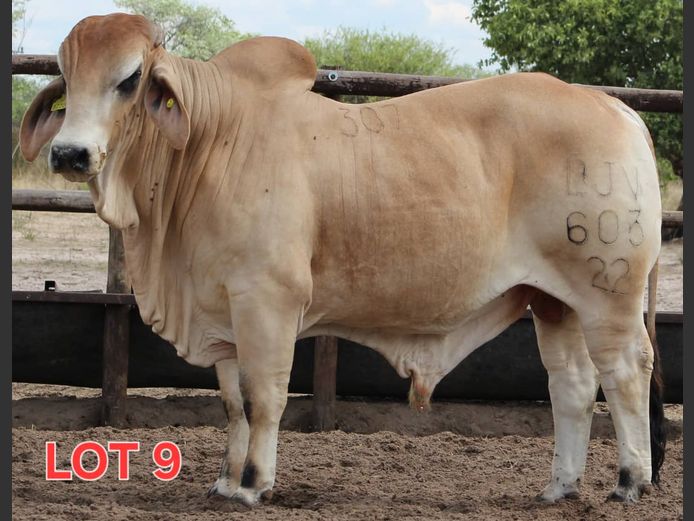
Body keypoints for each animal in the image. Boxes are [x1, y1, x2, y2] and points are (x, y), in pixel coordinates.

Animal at [20, 13, 665, 507]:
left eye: (130, 79)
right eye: (67, 77)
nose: (70, 153)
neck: (209, 141)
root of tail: (614, 108)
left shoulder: (267, 302)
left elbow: (263, 396)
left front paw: (253, 485)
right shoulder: (221, 312)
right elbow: (231, 403)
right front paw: (225, 482)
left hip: (607, 293)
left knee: (626, 372)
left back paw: (630, 481)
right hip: (553, 301)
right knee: (573, 385)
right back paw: (559, 487)